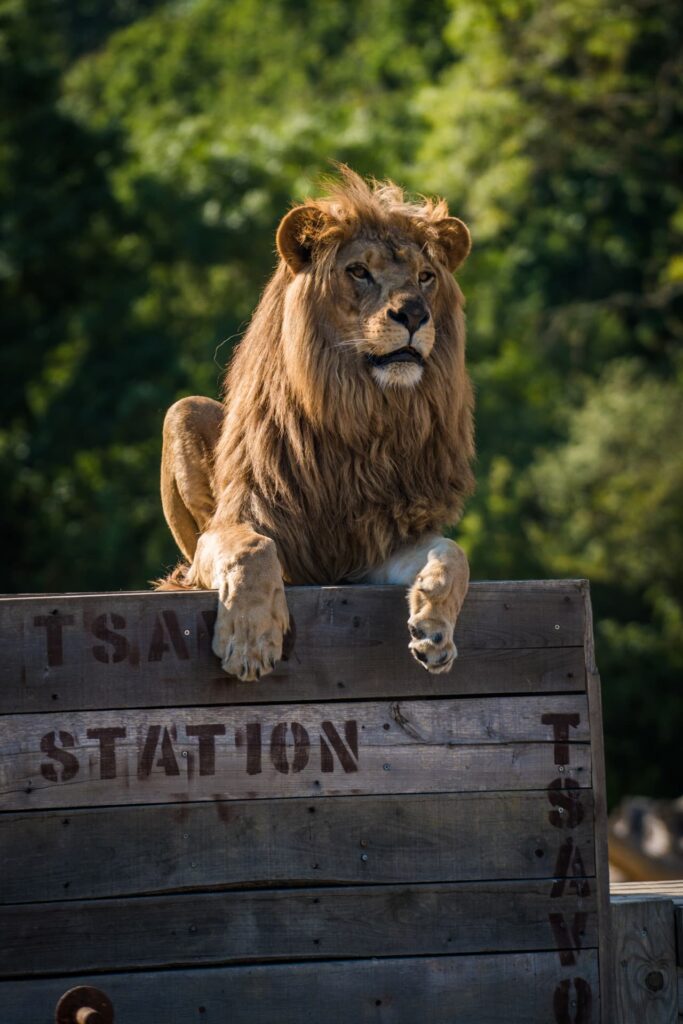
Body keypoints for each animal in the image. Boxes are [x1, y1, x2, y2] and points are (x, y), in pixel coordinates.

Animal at [158, 165, 475, 679]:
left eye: (426, 277)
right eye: (359, 271)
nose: (414, 313)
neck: (359, 414)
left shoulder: (368, 549)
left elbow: (451, 551)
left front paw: (434, 629)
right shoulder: (236, 528)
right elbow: (253, 550)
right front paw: (250, 642)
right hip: (183, 410)